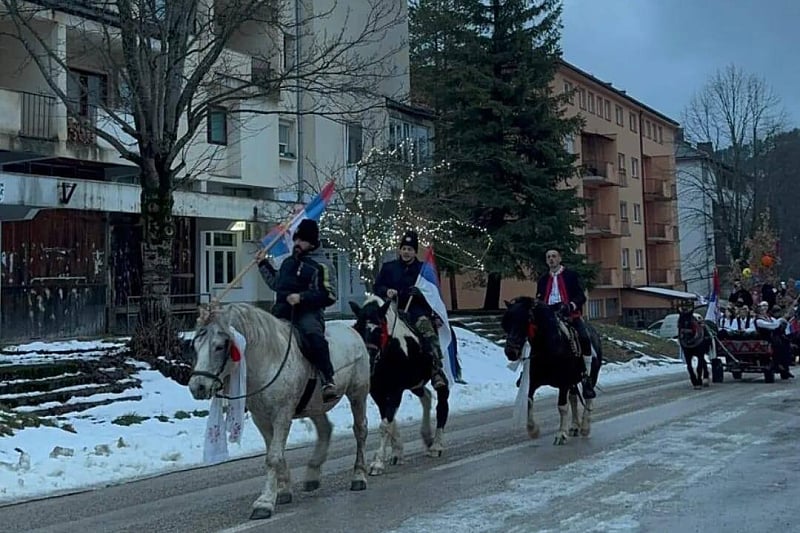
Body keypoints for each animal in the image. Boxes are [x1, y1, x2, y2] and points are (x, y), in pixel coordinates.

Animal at [189, 304, 370, 520]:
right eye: (195, 346)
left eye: (218, 346)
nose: (197, 387)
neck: (269, 359)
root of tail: (353, 332)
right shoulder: (261, 419)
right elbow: (276, 454)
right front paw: (282, 491)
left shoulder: (282, 415)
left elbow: (273, 457)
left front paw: (265, 502)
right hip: (315, 405)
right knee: (325, 429)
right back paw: (312, 474)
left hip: (358, 395)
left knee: (360, 430)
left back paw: (359, 477)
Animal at [350, 296, 450, 474]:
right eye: (358, 327)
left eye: (379, 330)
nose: (368, 360)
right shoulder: (378, 392)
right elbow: (390, 420)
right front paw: (397, 453)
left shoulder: (396, 390)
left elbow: (386, 424)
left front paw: (377, 463)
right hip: (415, 384)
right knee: (426, 397)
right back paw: (427, 437)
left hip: (437, 376)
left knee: (442, 402)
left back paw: (436, 445)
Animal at [500, 298, 600, 442]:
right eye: (506, 323)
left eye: (525, 320)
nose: (510, 352)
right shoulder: (533, 381)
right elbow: (529, 401)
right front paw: (533, 430)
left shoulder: (564, 382)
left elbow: (562, 406)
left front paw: (561, 434)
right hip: (573, 382)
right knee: (574, 399)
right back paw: (575, 426)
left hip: (591, 376)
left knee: (588, 398)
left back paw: (585, 427)